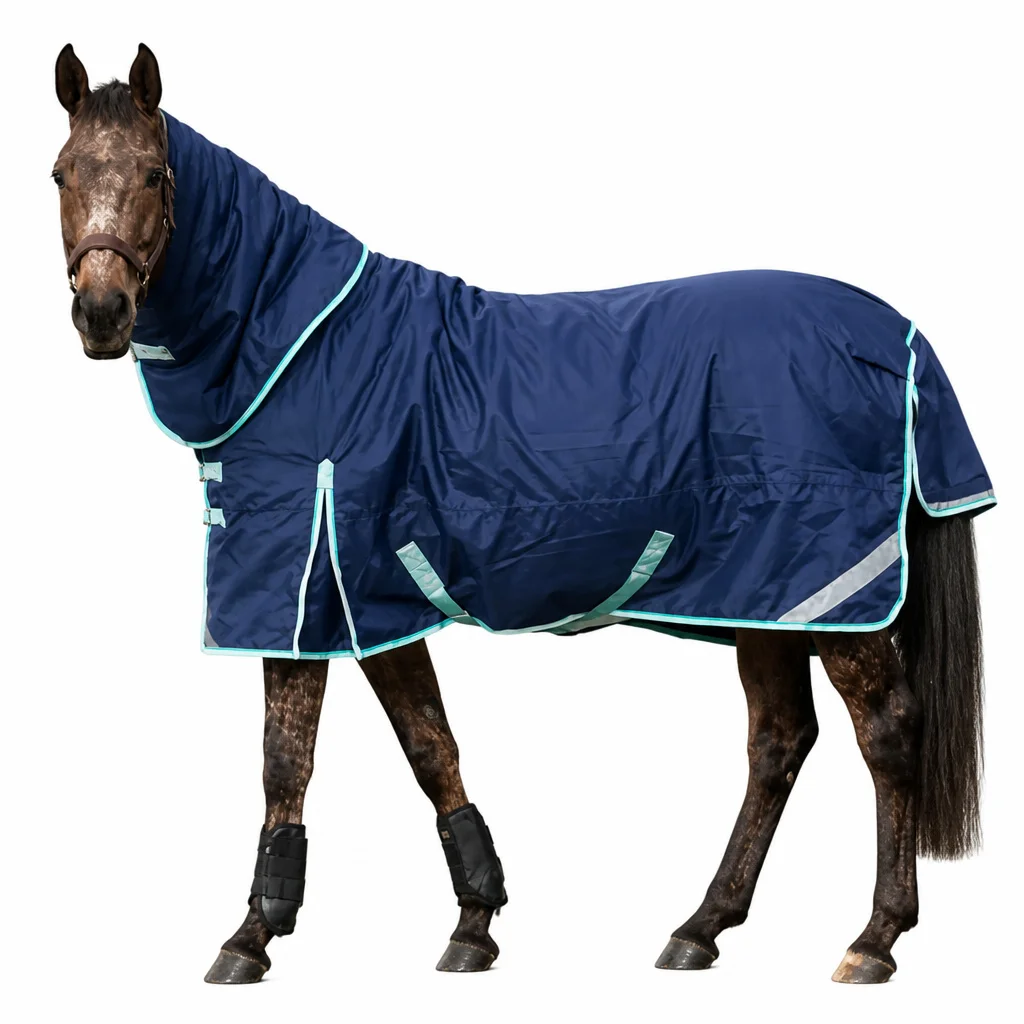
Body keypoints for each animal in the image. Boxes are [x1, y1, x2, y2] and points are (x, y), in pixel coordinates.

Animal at [52, 43, 991, 986]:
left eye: (153, 173)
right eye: (62, 172)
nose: (101, 314)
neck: (303, 349)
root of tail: (899, 337)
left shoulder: (298, 583)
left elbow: (288, 759)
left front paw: (250, 936)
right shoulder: (372, 599)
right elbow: (430, 746)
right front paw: (475, 921)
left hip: (833, 597)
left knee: (886, 732)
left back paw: (873, 939)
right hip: (769, 597)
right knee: (778, 742)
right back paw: (700, 927)